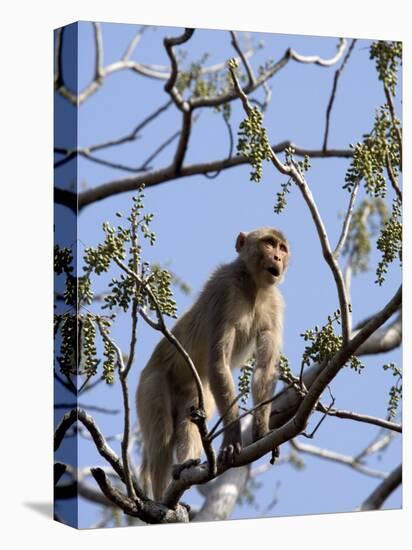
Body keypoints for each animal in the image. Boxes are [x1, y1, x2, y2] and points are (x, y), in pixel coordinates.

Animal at [137, 226, 288, 502]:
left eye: (282, 248)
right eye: (269, 243)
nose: (277, 258)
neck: (253, 286)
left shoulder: (275, 304)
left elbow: (265, 370)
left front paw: (262, 431)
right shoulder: (224, 288)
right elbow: (218, 362)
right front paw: (232, 437)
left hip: (199, 390)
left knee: (190, 420)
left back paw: (186, 464)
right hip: (151, 382)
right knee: (162, 437)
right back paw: (163, 500)